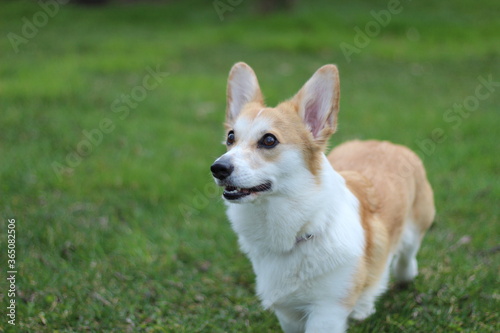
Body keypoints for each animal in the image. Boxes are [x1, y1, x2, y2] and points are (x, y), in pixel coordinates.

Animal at [209, 63, 436, 332]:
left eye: (269, 140)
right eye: (231, 137)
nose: (217, 168)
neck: (299, 230)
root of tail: (387, 143)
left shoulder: (328, 310)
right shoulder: (287, 313)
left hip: (416, 226)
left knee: (406, 257)